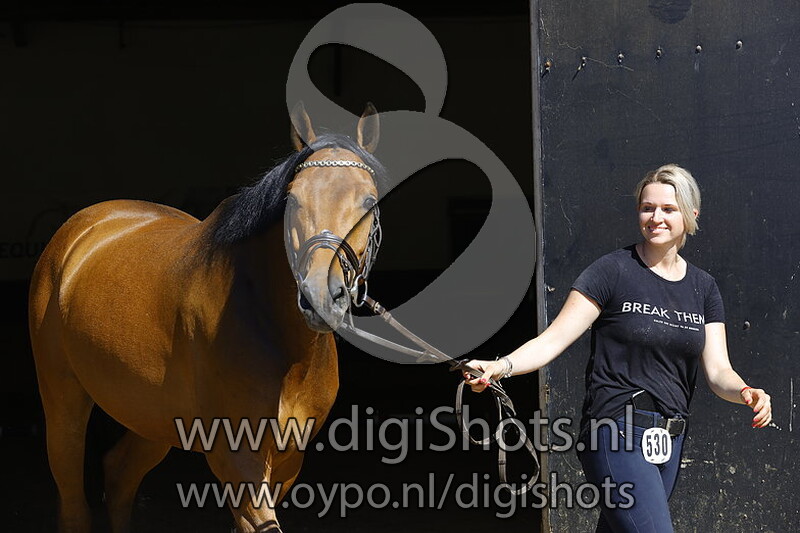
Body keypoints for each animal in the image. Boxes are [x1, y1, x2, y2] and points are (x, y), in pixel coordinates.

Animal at [28, 102, 385, 532]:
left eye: (369, 202)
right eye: (293, 200)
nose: (318, 296)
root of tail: (81, 230)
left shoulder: (286, 462)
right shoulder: (236, 458)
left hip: (153, 418)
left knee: (118, 476)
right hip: (63, 402)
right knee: (74, 502)